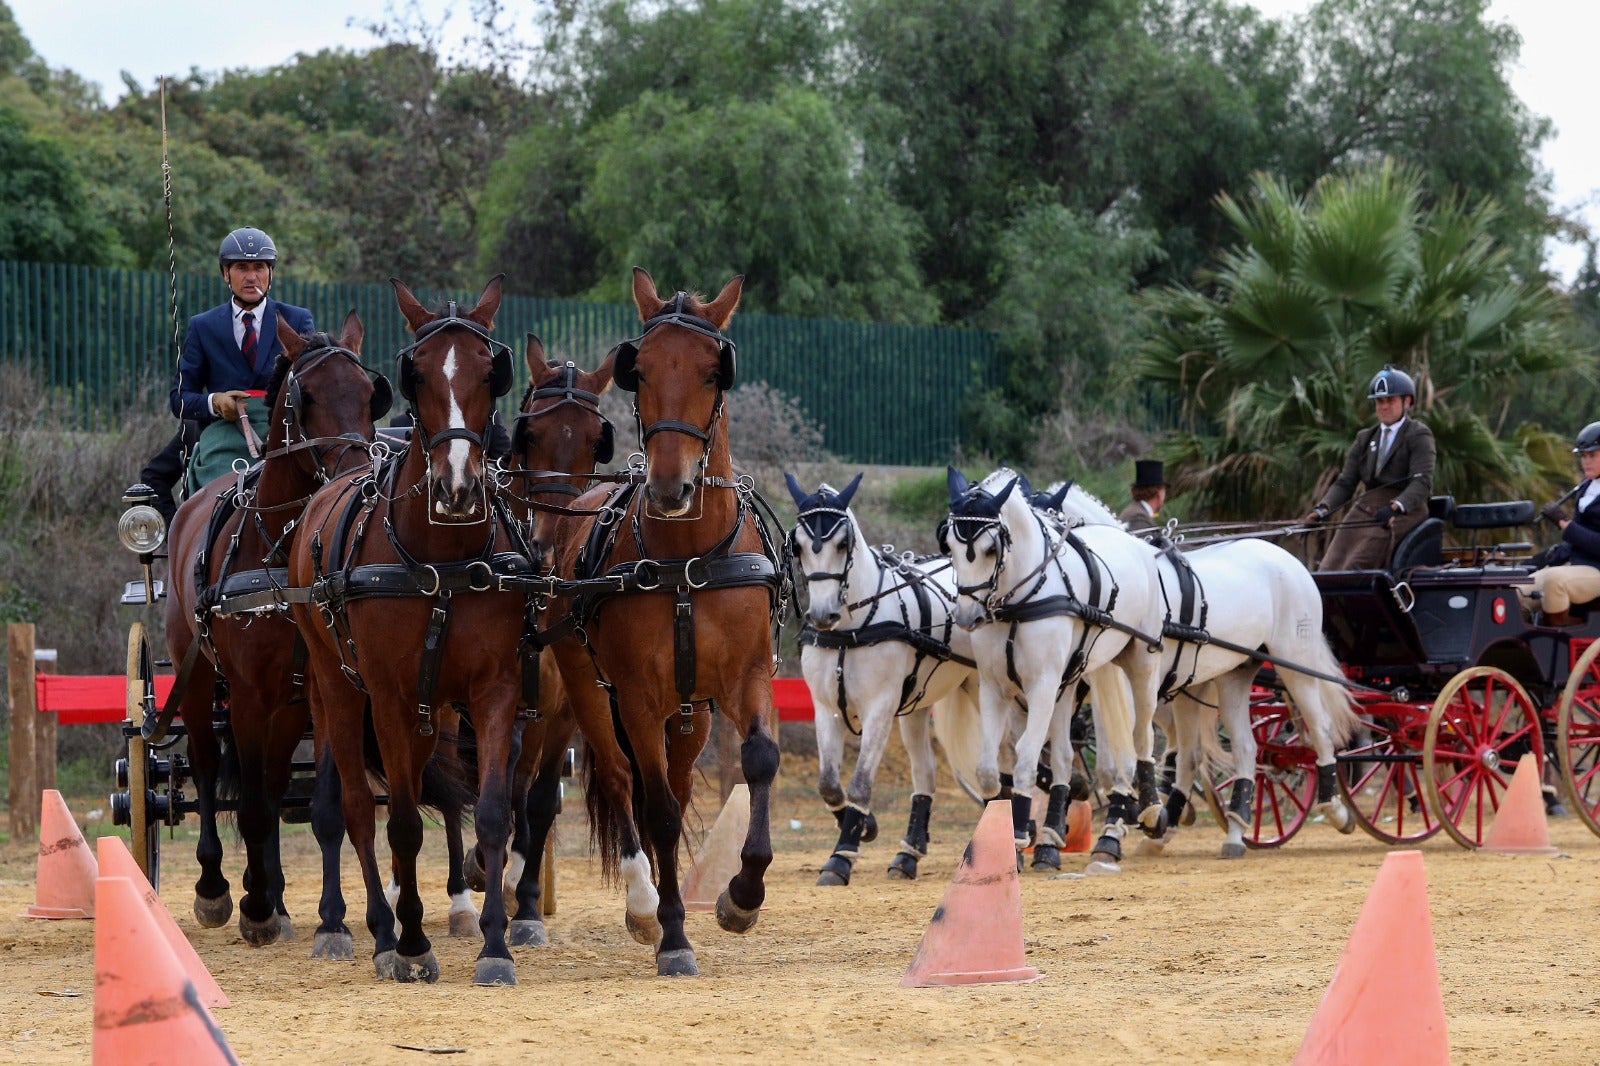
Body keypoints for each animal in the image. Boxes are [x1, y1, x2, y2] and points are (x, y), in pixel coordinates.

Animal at [160, 312, 390, 934]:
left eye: (370, 394)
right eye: (305, 398)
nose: (356, 472)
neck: (281, 553)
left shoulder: (307, 688)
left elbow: (285, 794)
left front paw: (270, 899)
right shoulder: (244, 695)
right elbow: (251, 803)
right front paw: (252, 903)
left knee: (272, 780)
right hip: (195, 678)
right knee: (208, 768)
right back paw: (216, 887)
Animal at [291, 273, 534, 979]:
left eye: (490, 370)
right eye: (417, 372)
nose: (456, 487)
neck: (443, 560)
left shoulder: (494, 689)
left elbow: (489, 813)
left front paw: (495, 945)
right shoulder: (390, 697)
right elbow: (399, 822)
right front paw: (412, 943)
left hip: (433, 712)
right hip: (340, 691)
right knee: (353, 808)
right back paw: (375, 929)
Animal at [544, 267, 787, 973]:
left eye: (714, 371)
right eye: (642, 370)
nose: (670, 488)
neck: (687, 558)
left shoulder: (747, 678)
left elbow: (759, 760)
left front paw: (742, 894)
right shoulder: (637, 697)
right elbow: (651, 803)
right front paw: (674, 932)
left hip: (691, 714)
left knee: (676, 788)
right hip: (590, 692)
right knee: (626, 779)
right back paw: (644, 903)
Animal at [784, 470, 979, 877]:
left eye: (843, 543)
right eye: (799, 546)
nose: (822, 615)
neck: (851, 628)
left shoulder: (879, 709)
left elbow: (859, 783)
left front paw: (842, 855)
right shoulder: (825, 708)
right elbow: (828, 783)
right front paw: (863, 826)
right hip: (917, 706)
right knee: (925, 772)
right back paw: (908, 854)